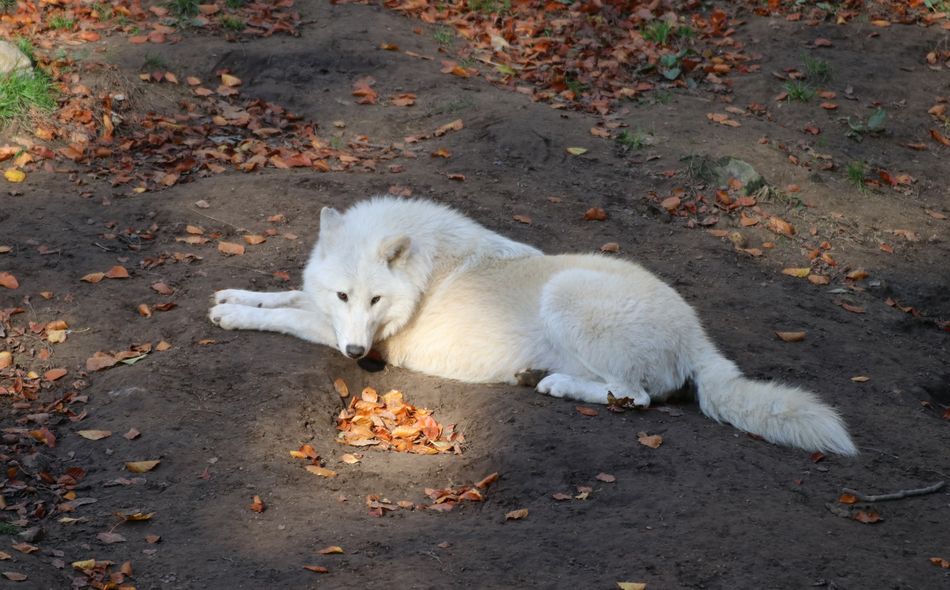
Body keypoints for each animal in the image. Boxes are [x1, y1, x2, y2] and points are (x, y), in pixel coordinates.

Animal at [209, 196, 857, 456]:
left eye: (375, 300)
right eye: (345, 295)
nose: (352, 352)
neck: (421, 268)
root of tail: (701, 337)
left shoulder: (367, 340)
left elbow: (289, 318)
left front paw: (233, 315)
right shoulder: (328, 313)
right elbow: (291, 296)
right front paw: (231, 295)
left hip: (566, 298)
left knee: (636, 397)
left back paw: (552, 384)